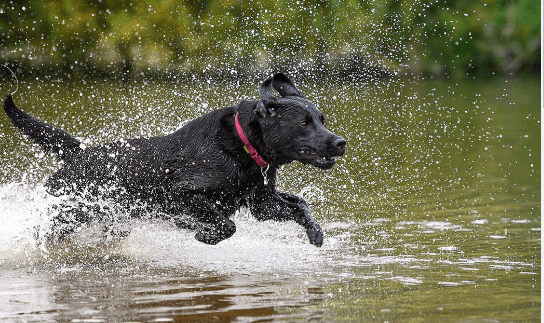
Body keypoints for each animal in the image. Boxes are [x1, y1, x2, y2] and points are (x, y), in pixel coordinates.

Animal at [3, 73, 344, 247]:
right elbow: (227, 224)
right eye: (304, 123)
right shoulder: (182, 193)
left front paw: (315, 232)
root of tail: (80, 153)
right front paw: (205, 235)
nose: (340, 142)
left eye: (322, 119)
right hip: (68, 213)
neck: (242, 146)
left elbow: (300, 205)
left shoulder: (260, 202)